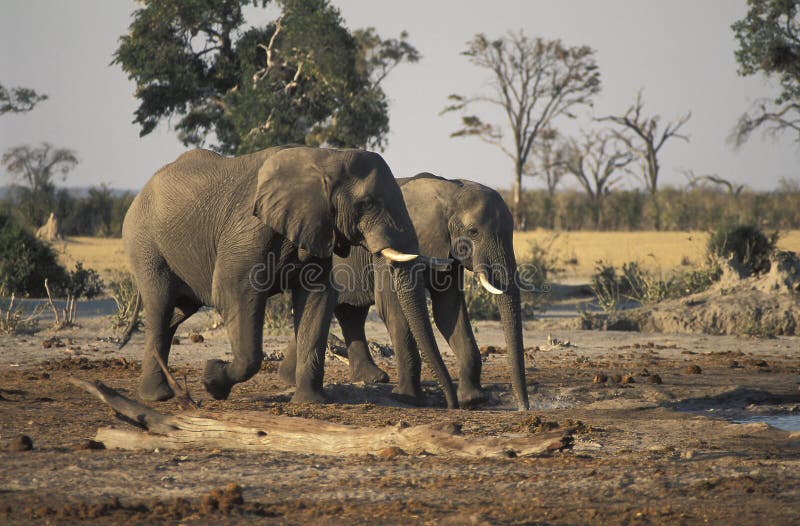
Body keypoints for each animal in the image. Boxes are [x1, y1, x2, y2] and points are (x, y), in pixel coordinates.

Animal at [118, 146, 456, 410]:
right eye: (367, 204)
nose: (453, 405)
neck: (326, 158)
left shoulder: (317, 229)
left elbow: (318, 298)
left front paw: (311, 402)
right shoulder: (247, 230)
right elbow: (233, 292)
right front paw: (212, 380)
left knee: (175, 313)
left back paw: (160, 393)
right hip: (144, 243)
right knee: (160, 306)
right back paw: (156, 397)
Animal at [282, 173, 536, 412]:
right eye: (473, 232)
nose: (523, 407)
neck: (449, 190)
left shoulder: (446, 249)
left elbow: (448, 310)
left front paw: (472, 400)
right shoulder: (387, 247)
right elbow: (393, 308)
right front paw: (408, 399)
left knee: (350, 313)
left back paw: (367, 378)